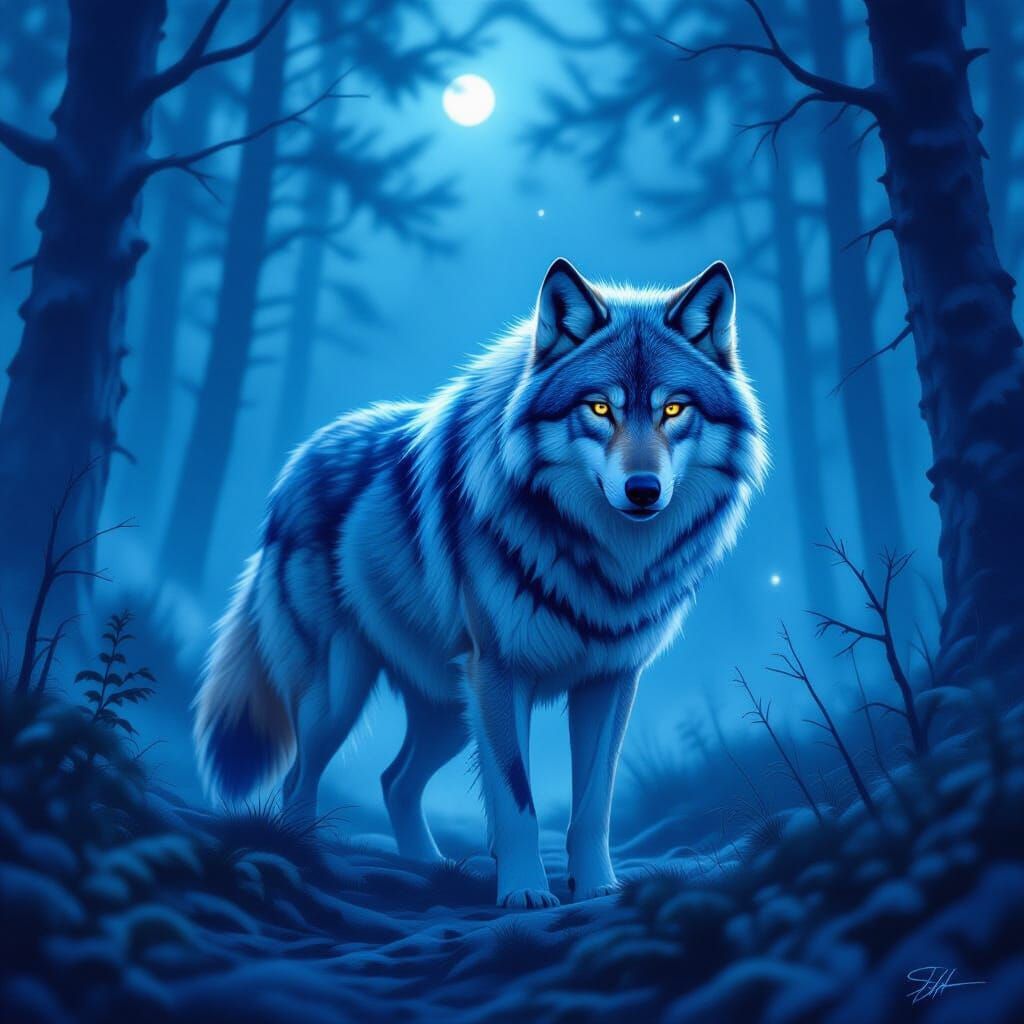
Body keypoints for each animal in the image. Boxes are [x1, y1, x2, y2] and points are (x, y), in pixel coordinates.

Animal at [194, 258, 767, 907]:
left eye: (674, 410)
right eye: (600, 409)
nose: (643, 490)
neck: (605, 558)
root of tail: (294, 465)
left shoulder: (611, 680)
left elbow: (593, 805)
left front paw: (598, 887)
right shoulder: (499, 672)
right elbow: (517, 800)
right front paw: (524, 892)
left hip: (447, 709)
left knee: (395, 780)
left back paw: (430, 868)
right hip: (338, 697)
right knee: (299, 778)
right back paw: (311, 859)